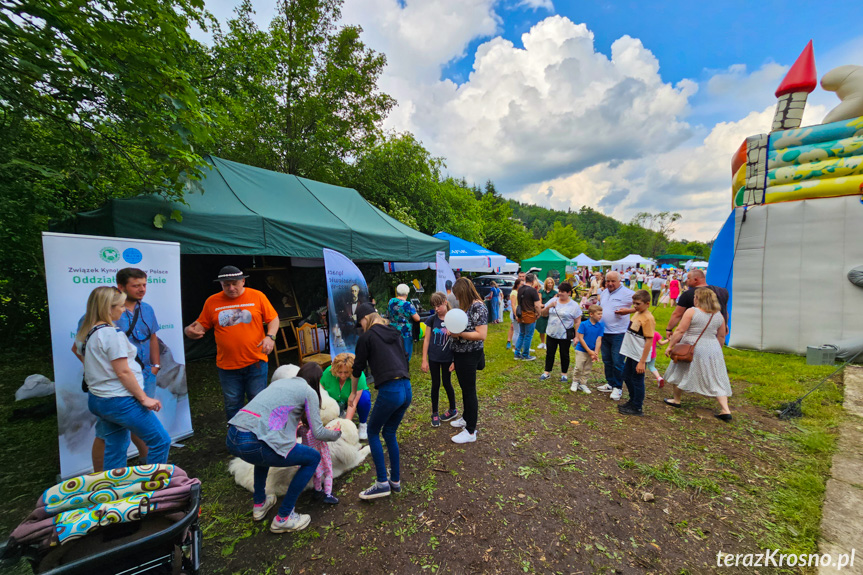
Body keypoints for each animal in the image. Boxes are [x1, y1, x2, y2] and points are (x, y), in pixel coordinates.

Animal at [226, 364, 372, 496]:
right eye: (332, 419)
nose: (340, 418)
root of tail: (238, 469)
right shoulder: (352, 461)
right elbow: (362, 451)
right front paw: (367, 447)